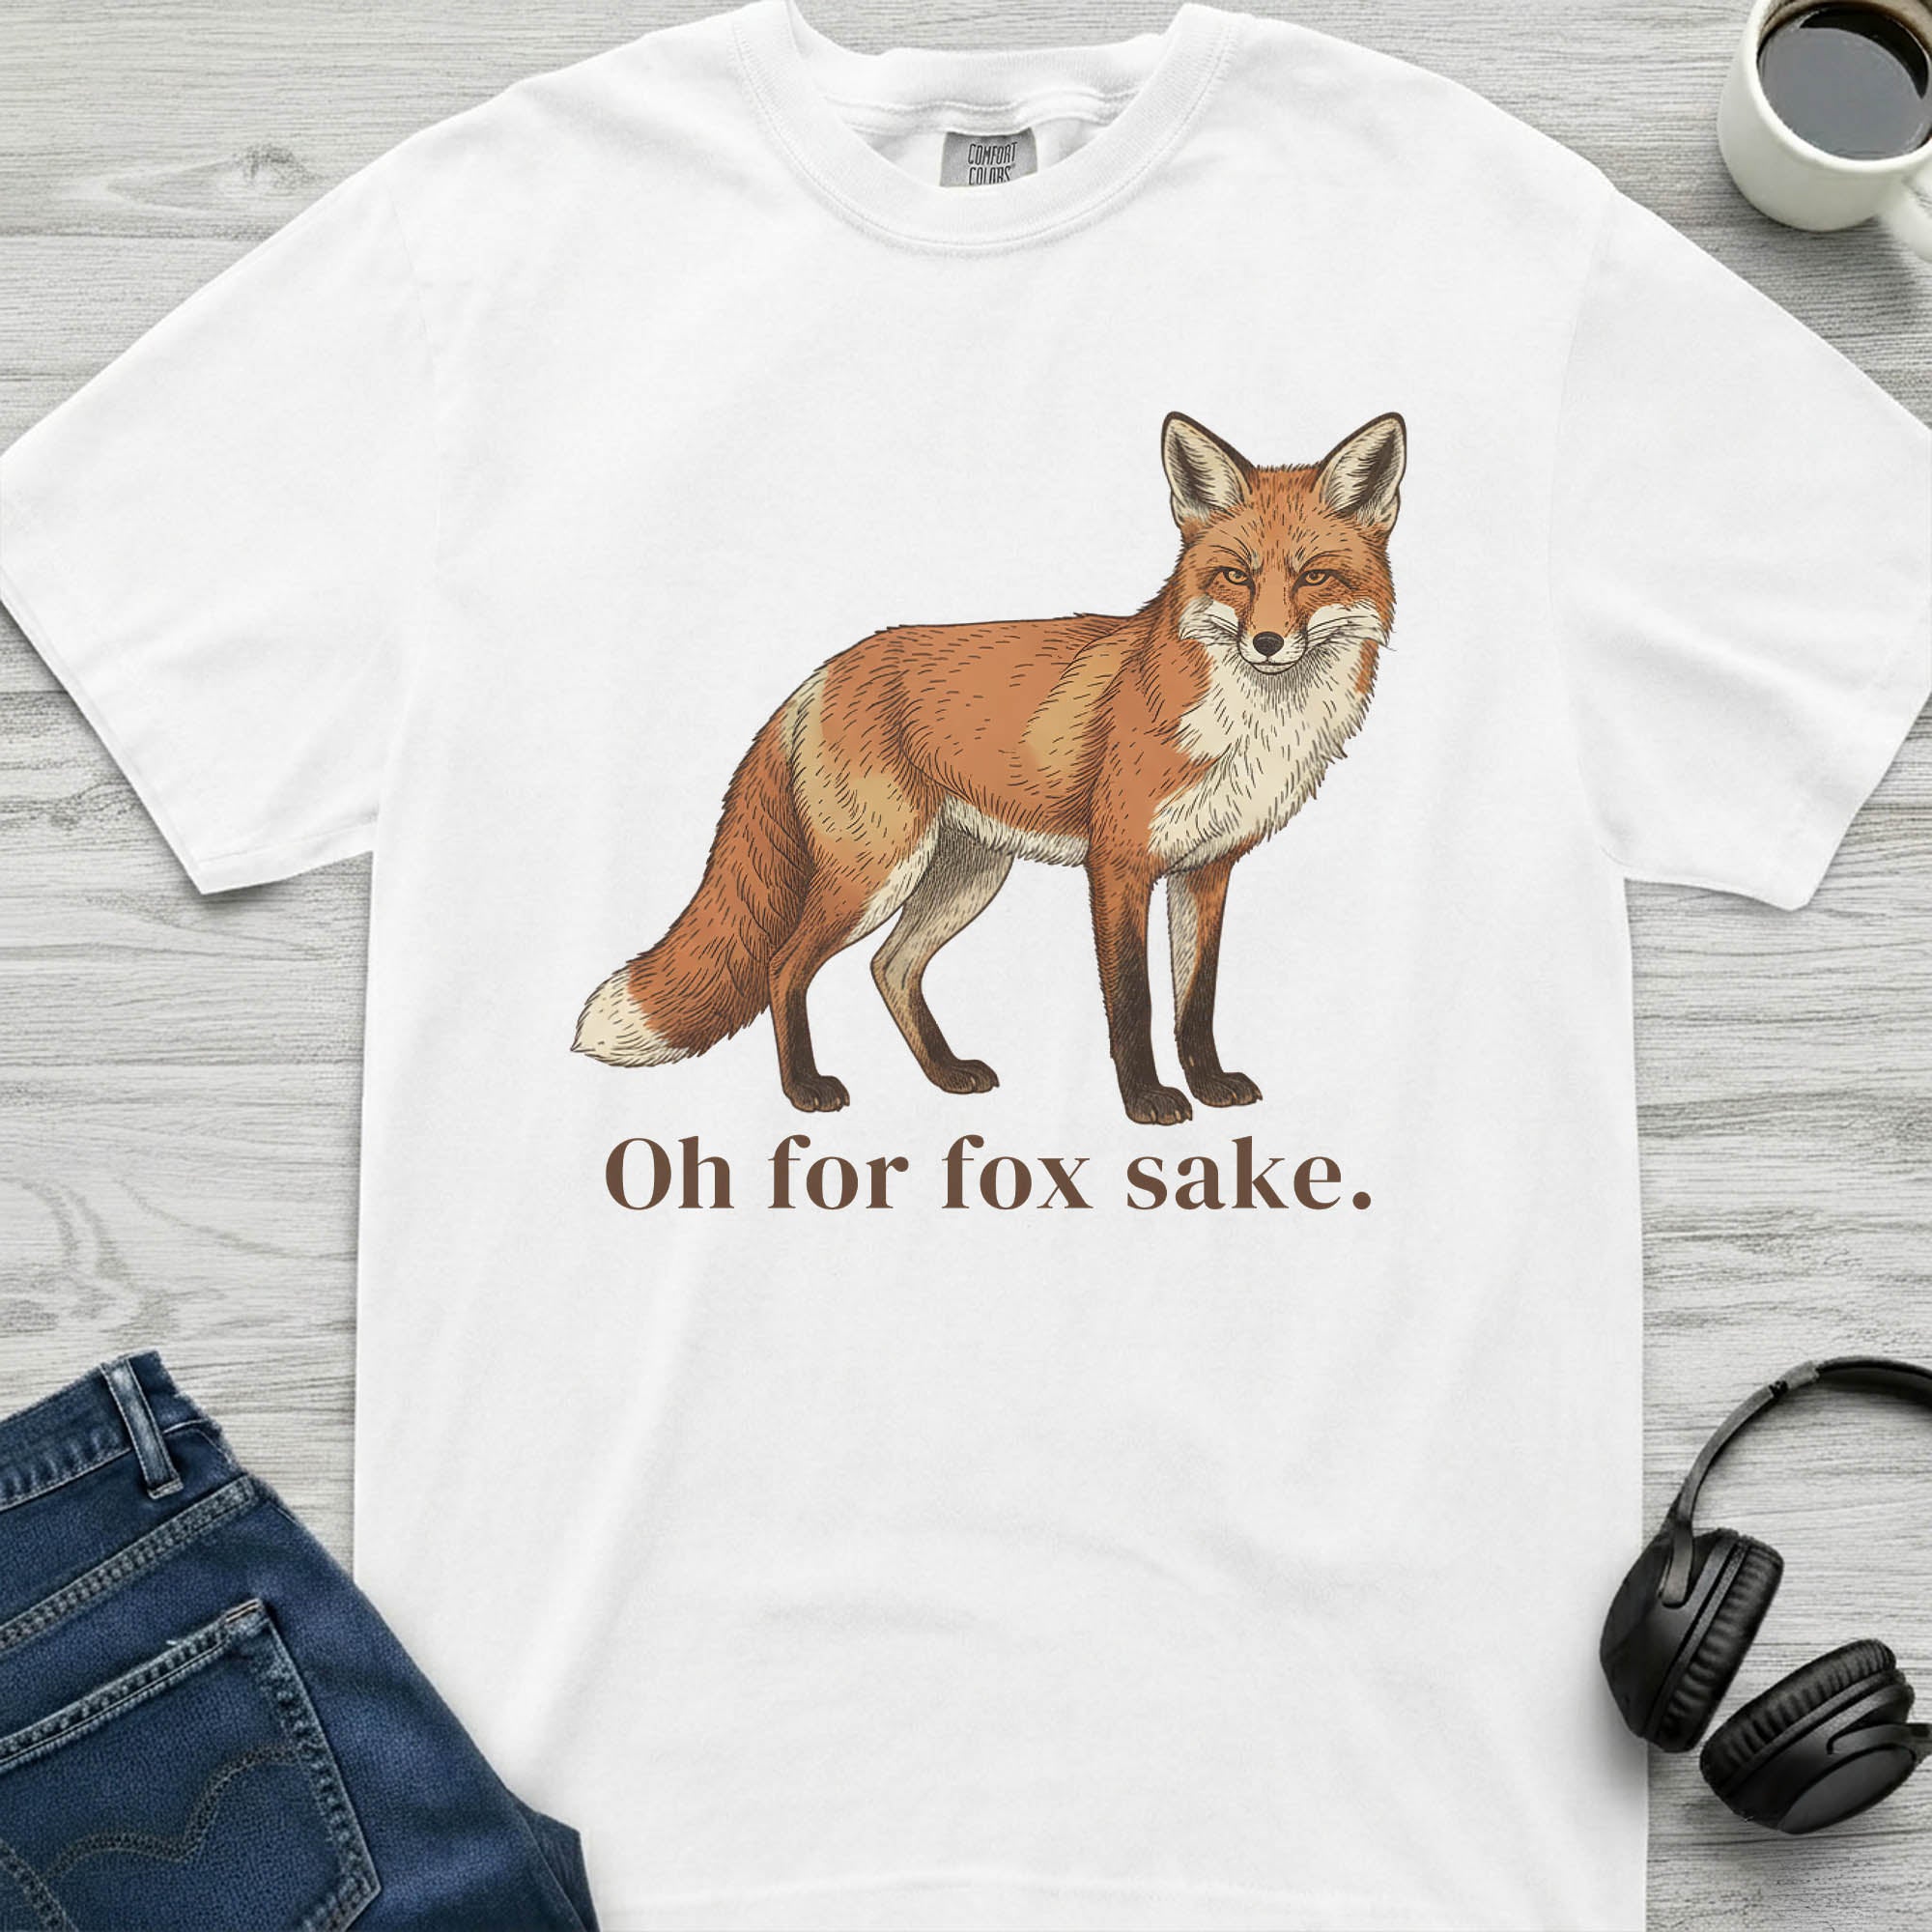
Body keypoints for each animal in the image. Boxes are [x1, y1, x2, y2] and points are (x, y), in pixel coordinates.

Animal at [574, 410, 1405, 1125]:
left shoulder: (1207, 869)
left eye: (1315, 577)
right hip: (874, 872)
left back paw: (945, 1074)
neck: (1252, 725)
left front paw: (1209, 1085)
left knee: (890, 967)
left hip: (965, 875)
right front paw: (1146, 1101)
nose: (1266, 642)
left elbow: (1195, 1002)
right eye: (1237, 575)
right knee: (786, 966)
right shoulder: (1120, 864)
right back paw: (806, 1089)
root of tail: (825, 673)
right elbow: (1133, 1002)